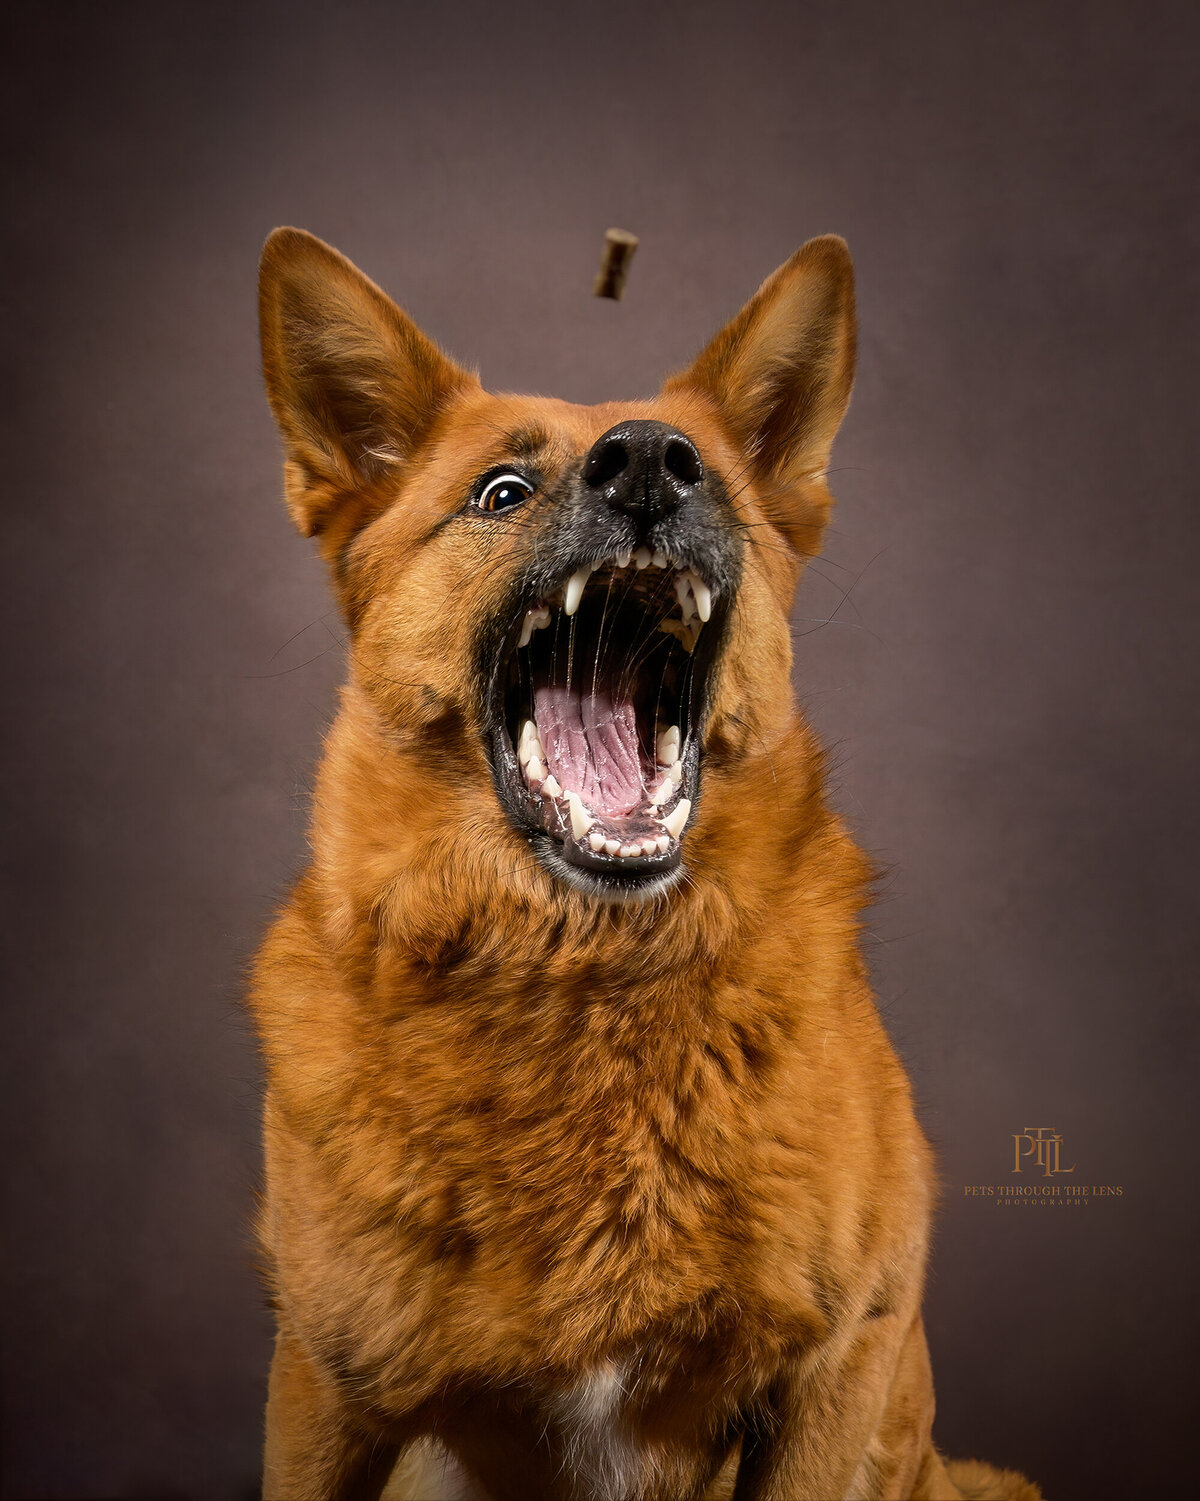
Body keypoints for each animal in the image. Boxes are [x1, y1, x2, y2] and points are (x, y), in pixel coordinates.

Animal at [253, 225, 1039, 1501]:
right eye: (502, 493)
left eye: (703, 470)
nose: (650, 467)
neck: (585, 985)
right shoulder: (329, 1390)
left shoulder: (836, 1365)